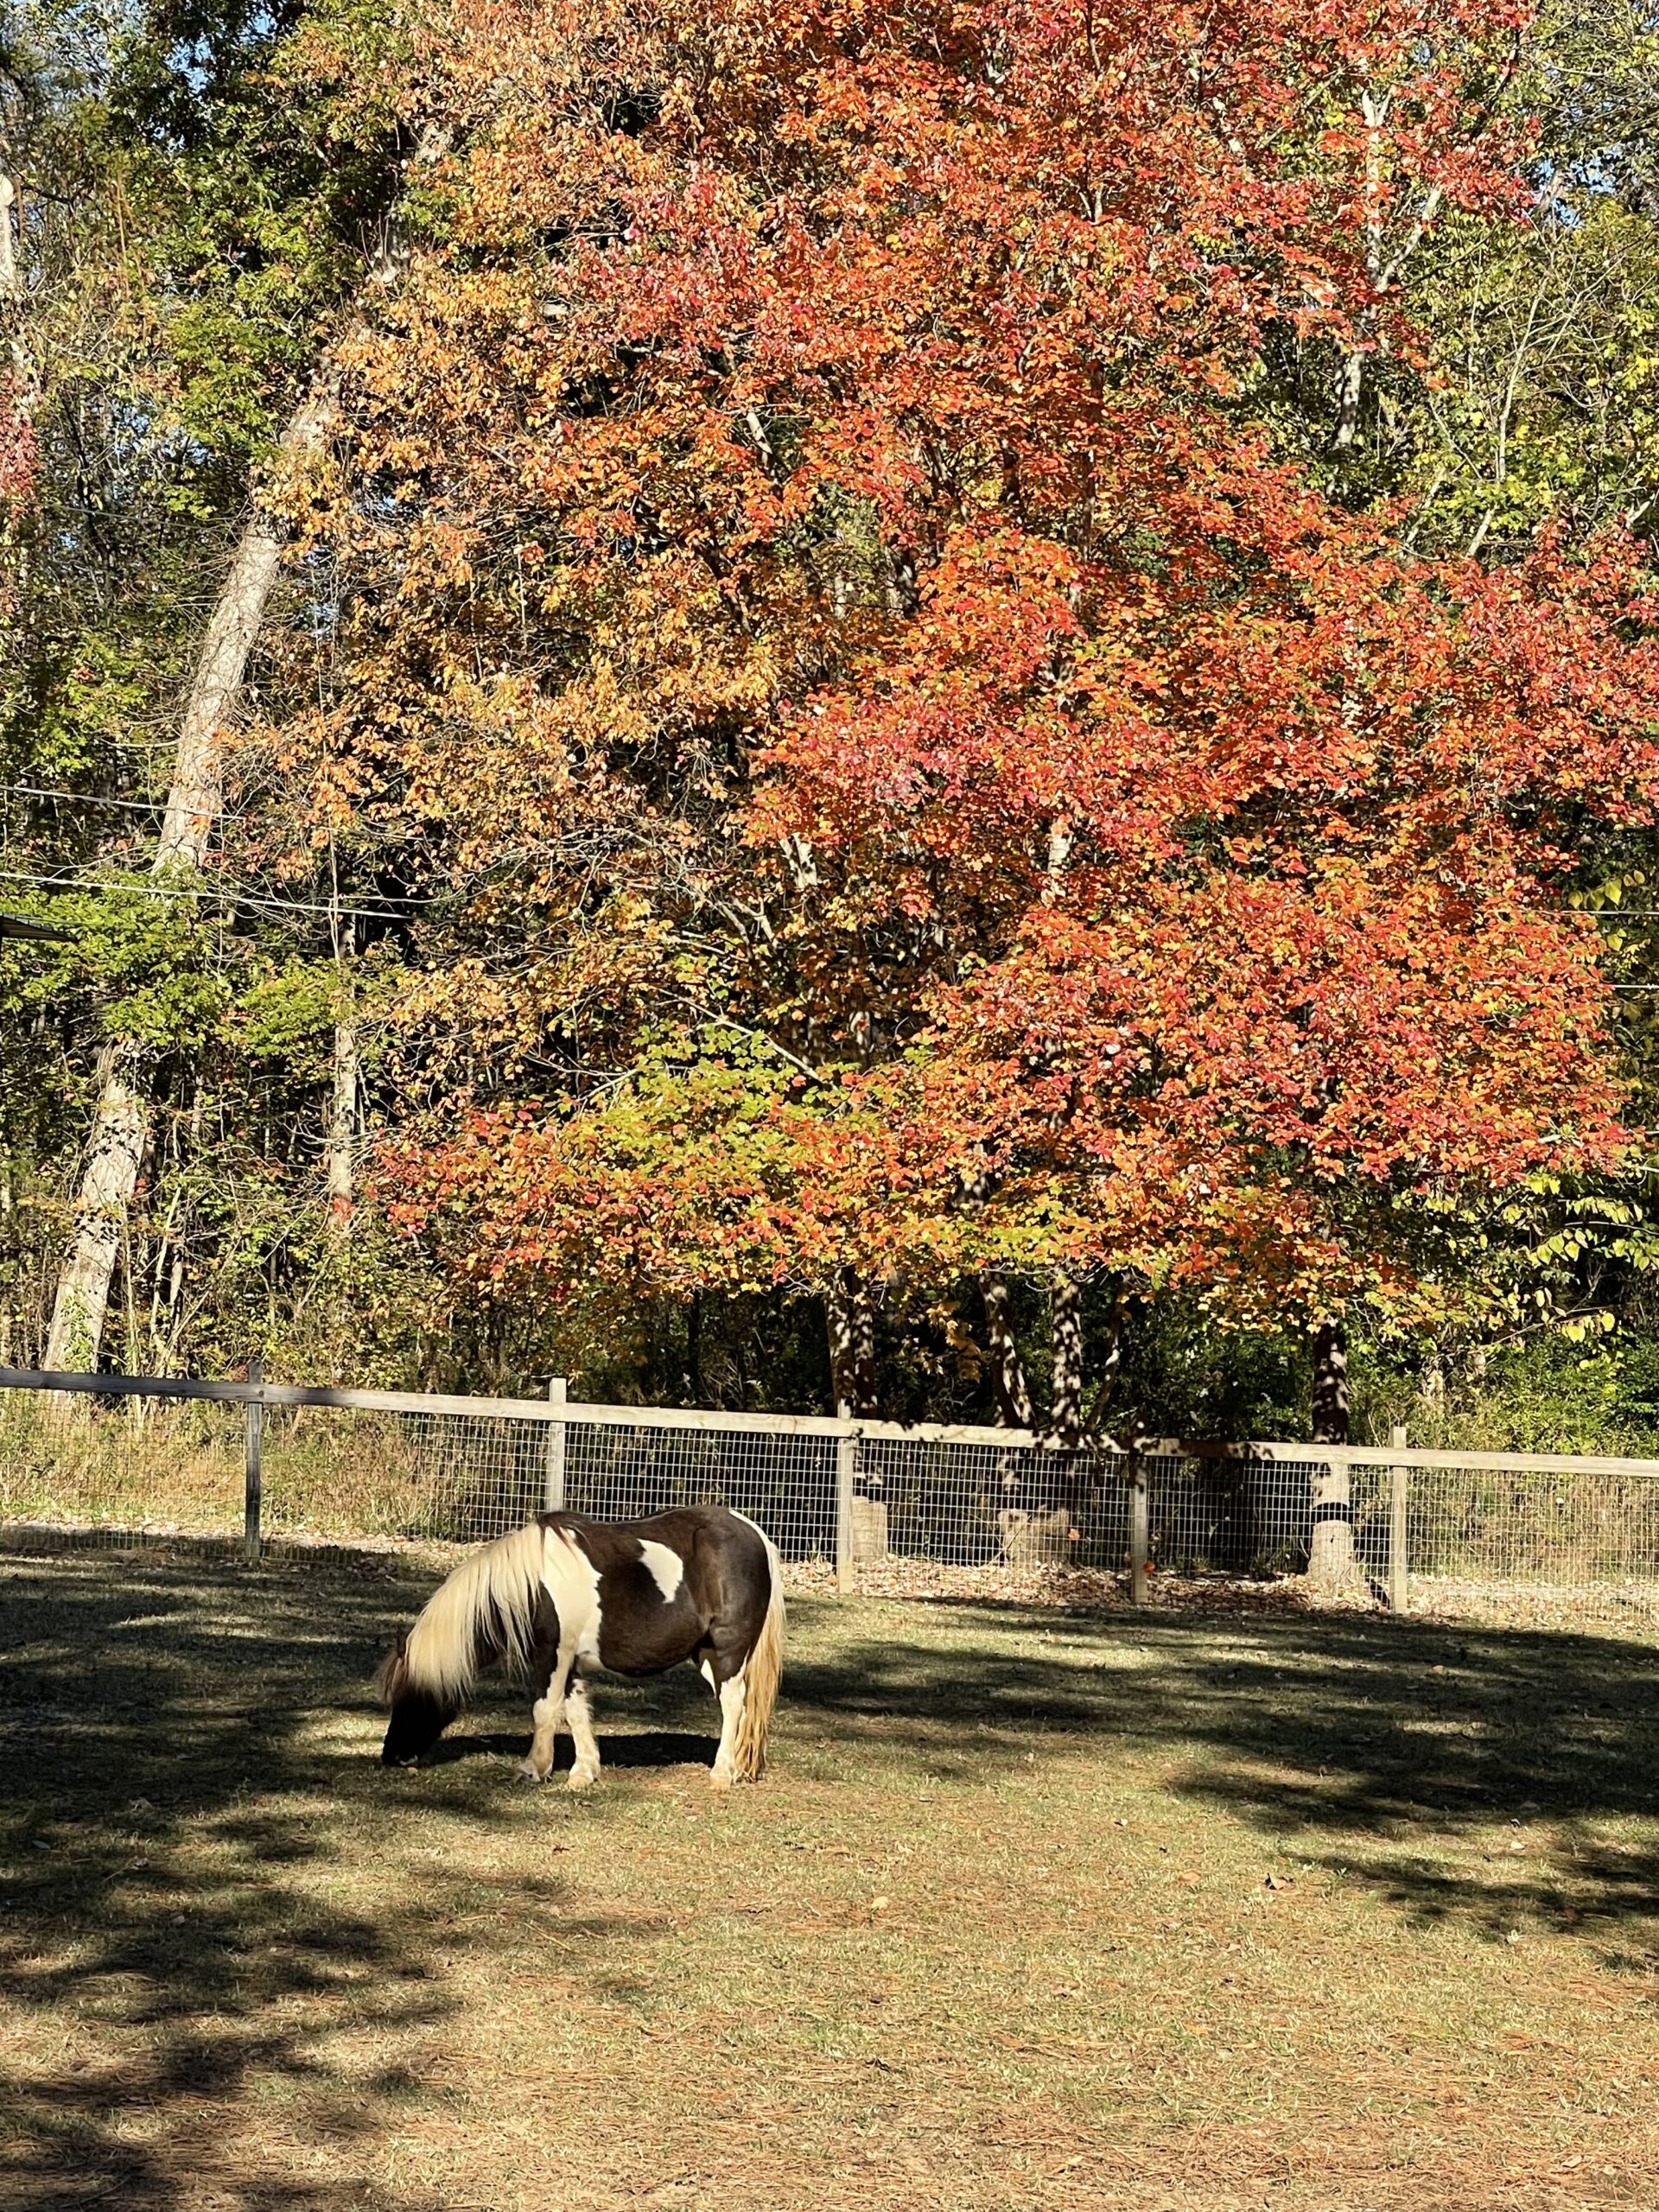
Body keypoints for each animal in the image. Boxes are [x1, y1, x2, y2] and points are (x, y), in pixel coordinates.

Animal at [380, 1513, 787, 1787]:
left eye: (412, 1696)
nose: (391, 1756)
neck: (532, 1586)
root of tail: (753, 1532)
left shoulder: (552, 1655)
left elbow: (545, 1710)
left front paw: (534, 1769)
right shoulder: (571, 1661)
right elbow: (575, 1713)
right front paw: (583, 1772)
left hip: (728, 1651)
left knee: (733, 1703)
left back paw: (722, 1772)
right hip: (704, 1655)